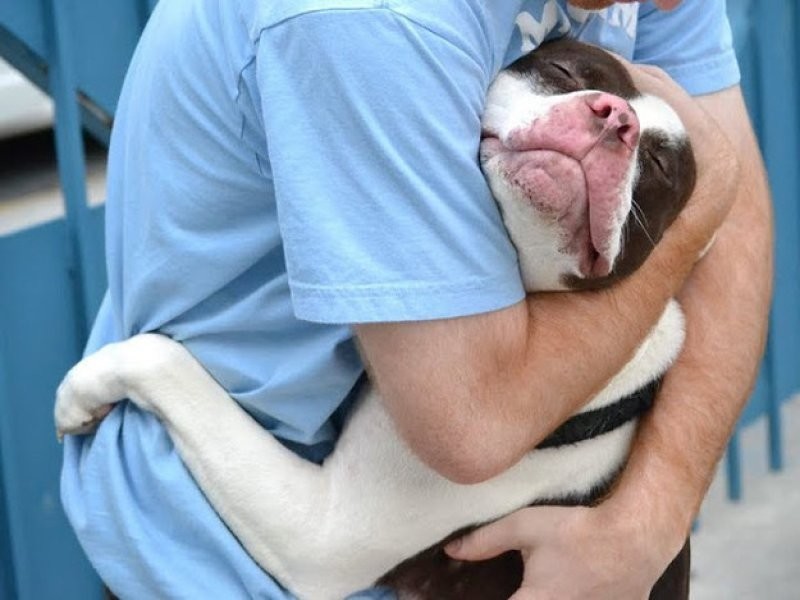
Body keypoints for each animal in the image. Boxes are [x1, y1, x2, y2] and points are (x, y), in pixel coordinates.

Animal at [54, 39, 692, 596]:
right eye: (563, 71)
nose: (614, 119)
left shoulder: (321, 533)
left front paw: (83, 389)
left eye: (660, 165)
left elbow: (166, 361)